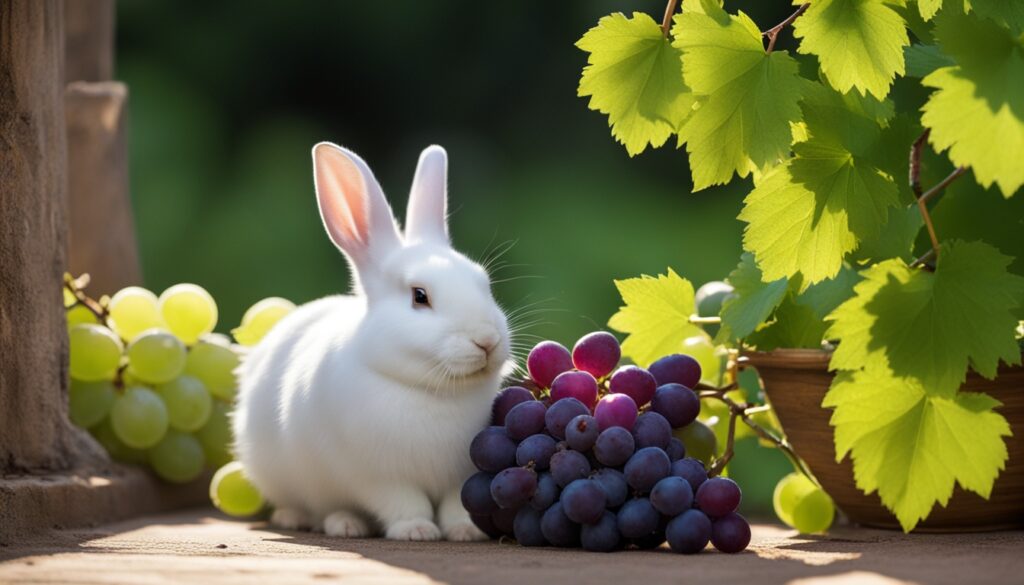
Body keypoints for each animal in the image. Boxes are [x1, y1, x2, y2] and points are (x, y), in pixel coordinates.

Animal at [235, 140, 516, 540]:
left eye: (483, 282)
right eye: (419, 296)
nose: (487, 341)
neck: (432, 391)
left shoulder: (459, 475)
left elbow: (455, 505)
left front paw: (465, 531)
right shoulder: (377, 477)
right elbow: (404, 503)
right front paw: (416, 531)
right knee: (318, 507)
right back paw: (336, 523)